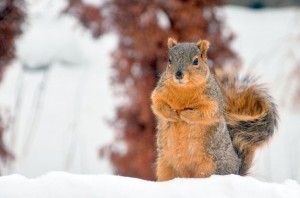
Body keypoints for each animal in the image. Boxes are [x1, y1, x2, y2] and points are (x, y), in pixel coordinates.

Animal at [151, 38, 278, 182]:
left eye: (196, 61)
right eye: (169, 60)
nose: (178, 74)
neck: (184, 89)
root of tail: (236, 171)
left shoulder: (213, 100)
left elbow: (207, 113)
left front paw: (185, 114)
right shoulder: (160, 92)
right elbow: (158, 105)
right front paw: (172, 114)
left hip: (211, 168)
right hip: (165, 167)